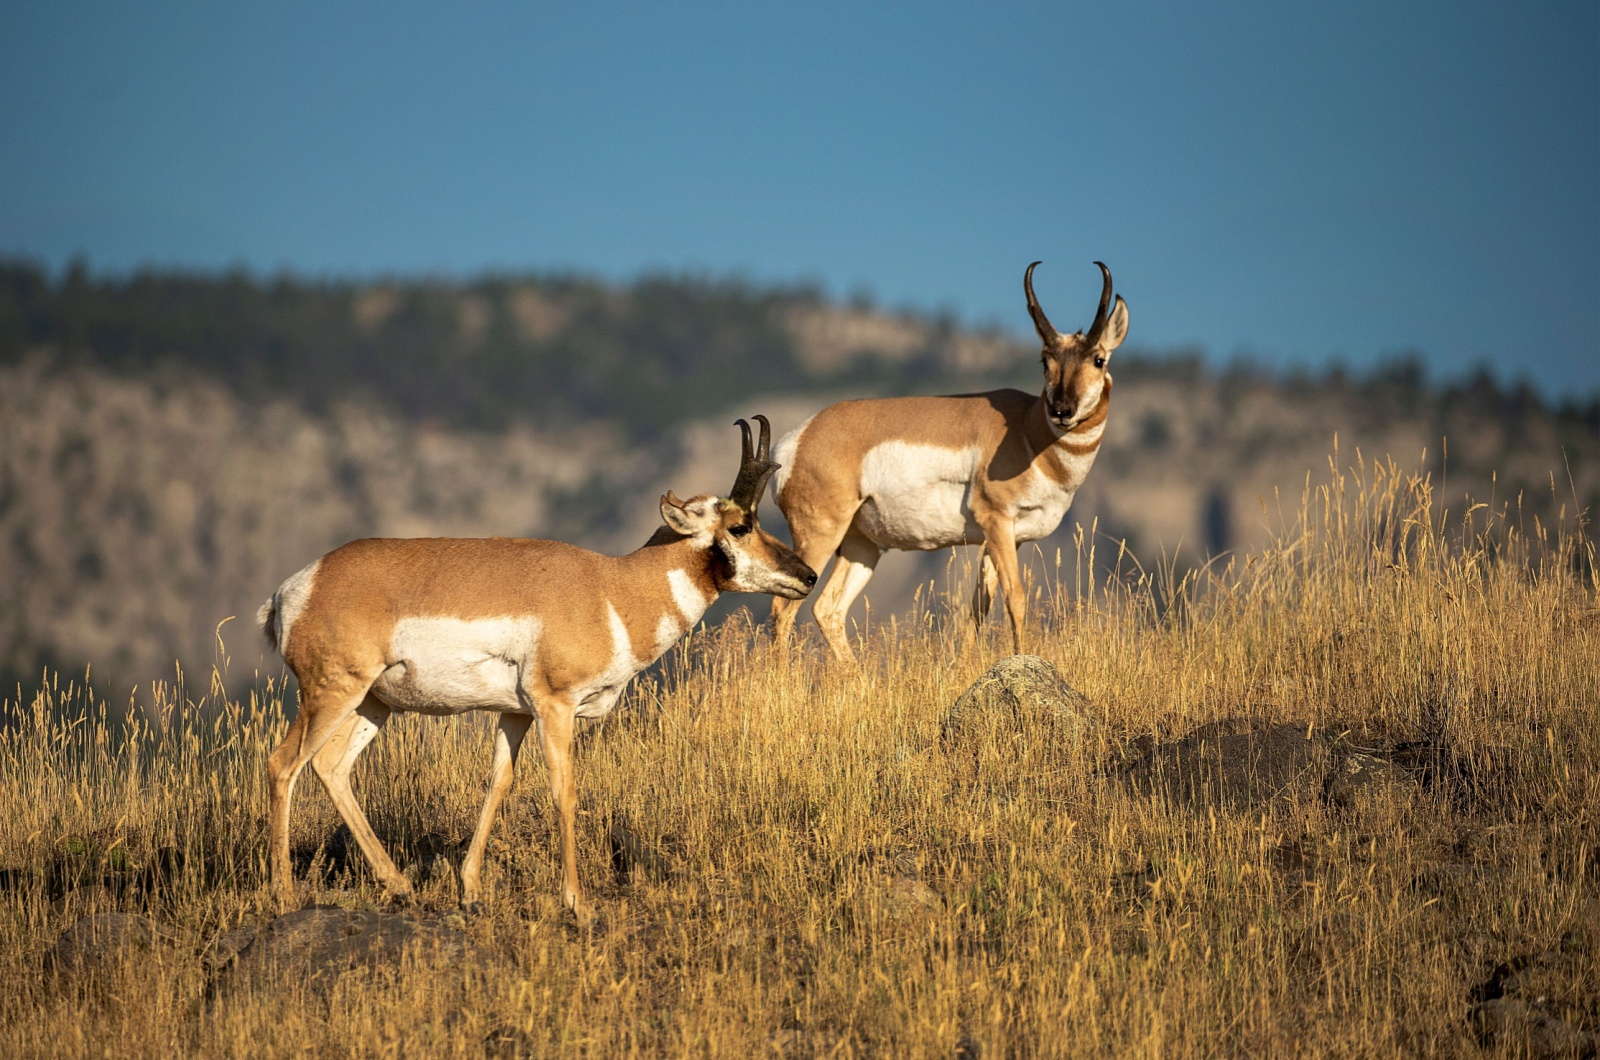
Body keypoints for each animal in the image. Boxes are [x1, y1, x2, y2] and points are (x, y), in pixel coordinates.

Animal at [262, 419, 819, 928]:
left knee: (330, 766)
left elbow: (498, 783)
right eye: (741, 525)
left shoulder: (517, 714)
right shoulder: (556, 706)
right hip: (333, 693)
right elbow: (563, 791)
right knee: (284, 763)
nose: (809, 575)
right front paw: (578, 904)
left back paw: (399, 885)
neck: (613, 588)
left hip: (373, 703)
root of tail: (296, 587)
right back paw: (285, 896)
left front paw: (470, 891)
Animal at [771, 264, 1126, 666]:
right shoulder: (997, 521)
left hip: (861, 546)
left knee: (827, 609)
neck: (1027, 428)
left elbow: (978, 608)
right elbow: (1015, 598)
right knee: (783, 608)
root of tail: (800, 437)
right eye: (1045, 360)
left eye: (1098, 359)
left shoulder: (1006, 538)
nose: (1062, 411)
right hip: (820, 536)